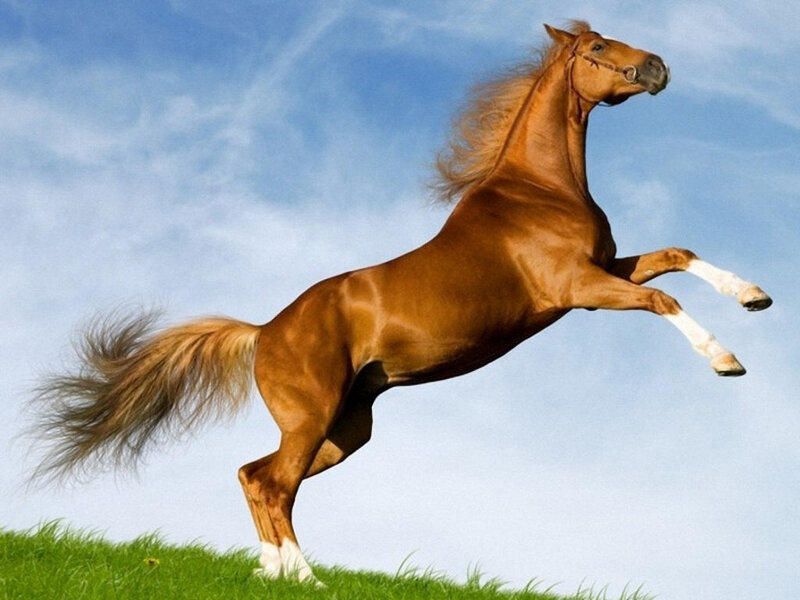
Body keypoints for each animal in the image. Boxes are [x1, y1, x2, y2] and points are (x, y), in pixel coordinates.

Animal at [33, 21, 772, 585]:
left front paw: (755, 296)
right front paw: (727, 360)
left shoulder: (604, 269)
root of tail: (263, 331)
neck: (539, 190)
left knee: (253, 475)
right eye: (596, 49)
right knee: (272, 483)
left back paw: (272, 574)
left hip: (345, 430)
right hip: (312, 420)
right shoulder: (578, 289)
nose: (659, 67)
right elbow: (662, 300)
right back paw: (307, 578)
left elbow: (676, 255)